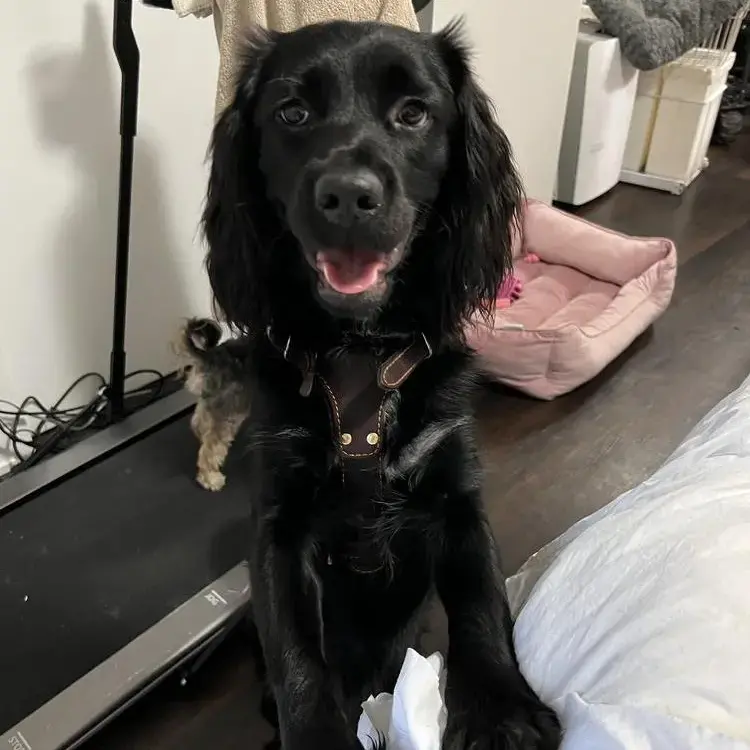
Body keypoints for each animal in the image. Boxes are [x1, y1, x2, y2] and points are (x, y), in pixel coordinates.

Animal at [203, 19, 560, 750]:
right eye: (292, 113)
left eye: (413, 113)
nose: (347, 196)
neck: (359, 352)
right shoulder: (279, 526)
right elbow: (296, 657)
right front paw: (317, 738)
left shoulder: (456, 496)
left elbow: (482, 602)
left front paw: (502, 712)